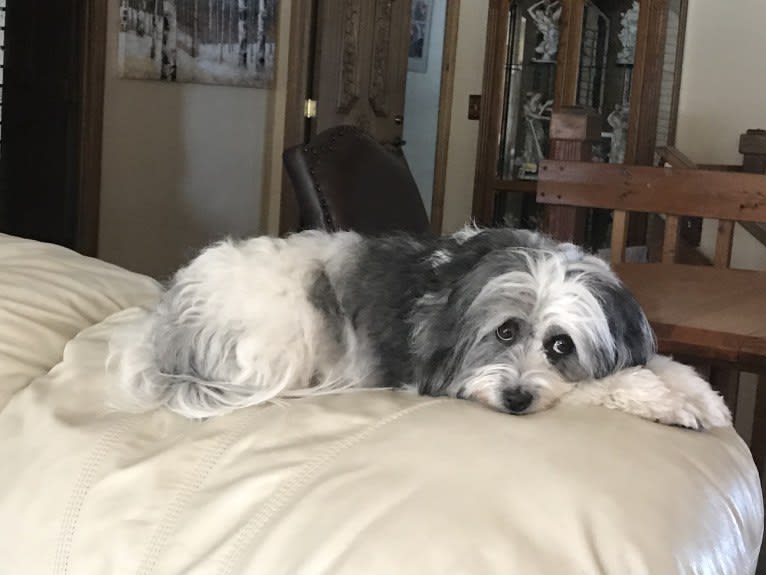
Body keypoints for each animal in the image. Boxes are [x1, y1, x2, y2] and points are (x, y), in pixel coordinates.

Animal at [112, 227, 732, 430]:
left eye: (560, 344)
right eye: (506, 333)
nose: (515, 400)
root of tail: (168, 324)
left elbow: (663, 362)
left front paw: (704, 397)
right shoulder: (455, 378)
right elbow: (602, 384)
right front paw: (672, 404)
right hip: (283, 335)